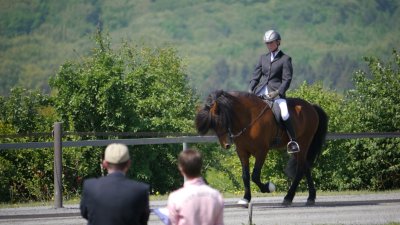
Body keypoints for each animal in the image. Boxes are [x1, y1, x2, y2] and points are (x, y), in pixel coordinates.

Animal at [195, 89, 328, 206]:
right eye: (212, 125)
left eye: (220, 120)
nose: (226, 145)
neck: (248, 118)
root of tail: (311, 106)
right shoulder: (242, 152)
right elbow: (245, 176)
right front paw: (246, 198)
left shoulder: (261, 151)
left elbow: (255, 175)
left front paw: (268, 187)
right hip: (298, 149)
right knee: (305, 167)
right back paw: (311, 197)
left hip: (304, 143)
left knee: (300, 168)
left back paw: (288, 197)